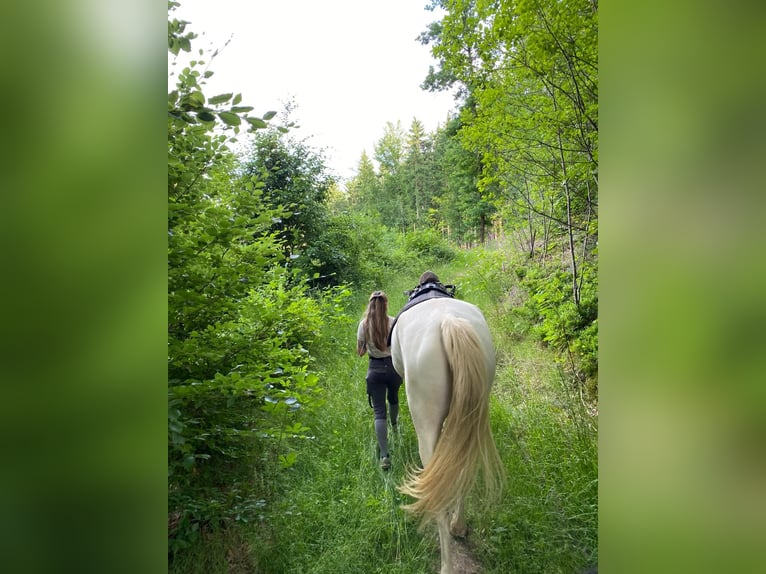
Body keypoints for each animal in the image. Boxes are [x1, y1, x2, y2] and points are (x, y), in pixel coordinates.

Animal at [390, 296, 505, 574]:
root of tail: (449, 322)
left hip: (426, 426)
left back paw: (446, 565)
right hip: (471, 418)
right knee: (462, 470)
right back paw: (458, 526)